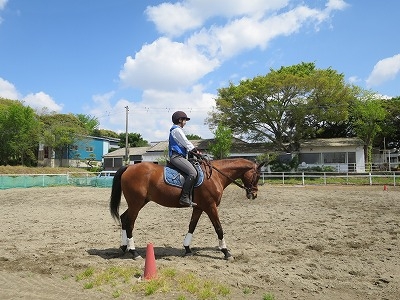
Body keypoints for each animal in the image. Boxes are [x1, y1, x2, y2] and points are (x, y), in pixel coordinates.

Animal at [109, 157, 266, 260]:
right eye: (257, 175)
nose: (254, 195)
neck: (215, 175)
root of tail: (129, 167)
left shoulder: (199, 208)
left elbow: (192, 226)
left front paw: (187, 249)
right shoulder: (211, 207)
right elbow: (219, 228)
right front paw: (226, 252)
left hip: (139, 202)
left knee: (124, 218)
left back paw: (123, 247)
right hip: (136, 203)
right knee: (130, 223)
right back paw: (134, 252)